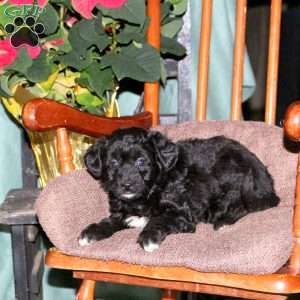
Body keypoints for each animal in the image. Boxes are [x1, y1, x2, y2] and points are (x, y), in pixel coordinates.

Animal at [78, 127, 280, 252]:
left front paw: (148, 238)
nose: (127, 184)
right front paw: (91, 232)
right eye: (113, 162)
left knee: (244, 204)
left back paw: (223, 222)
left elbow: (159, 219)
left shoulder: (182, 214)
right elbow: (110, 221)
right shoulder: (122, 213)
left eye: (141, 161)